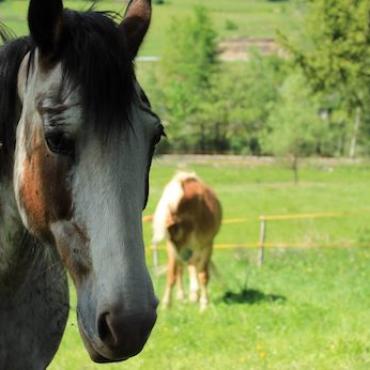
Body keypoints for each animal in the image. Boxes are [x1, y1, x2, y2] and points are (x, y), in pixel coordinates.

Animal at [152, 172, 221, 310]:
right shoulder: (173, 248)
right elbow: (172, 275)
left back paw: (194, 294)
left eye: (174, 228)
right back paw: (184, 295)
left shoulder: (205, 246)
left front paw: (204, 303)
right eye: (169, 234)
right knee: (183, 268)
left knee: (192, 266)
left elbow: (203, 274)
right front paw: (166, 304)